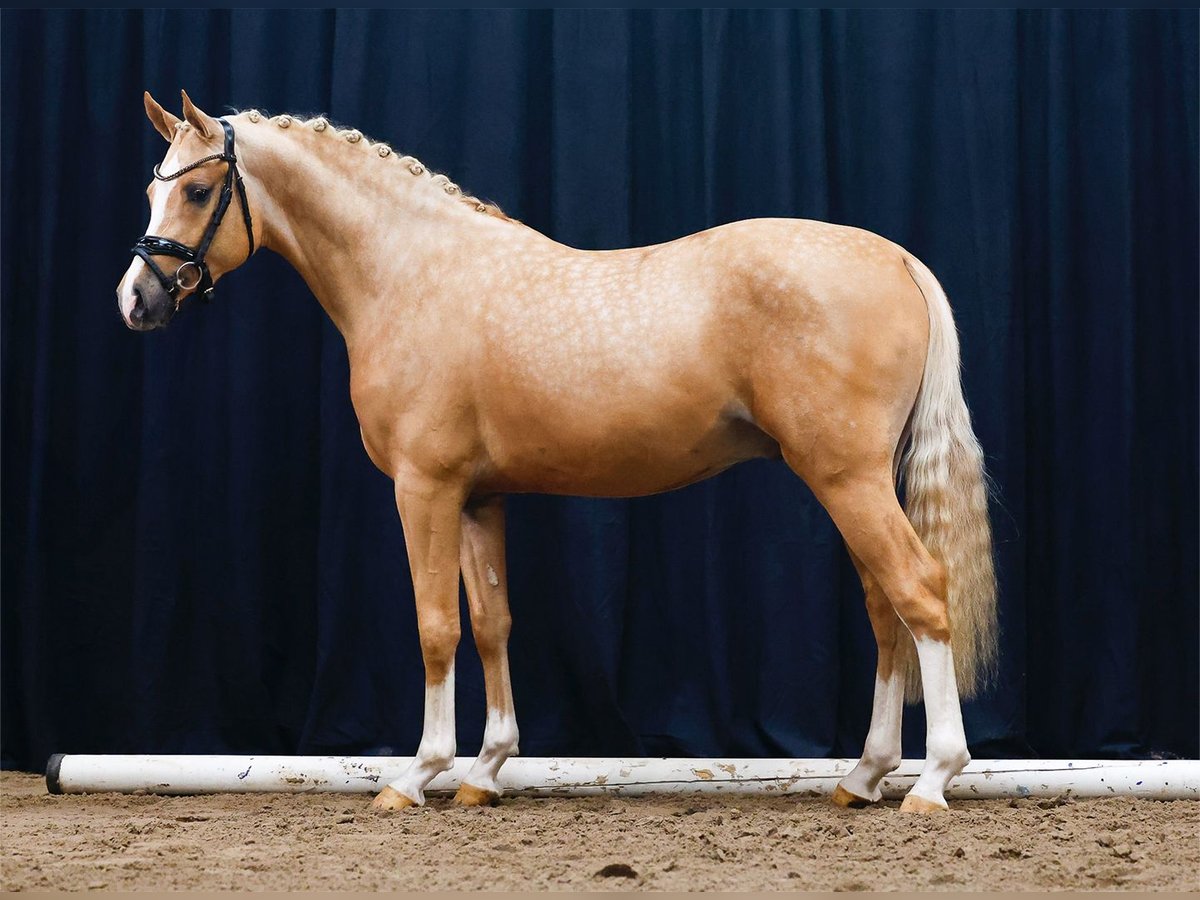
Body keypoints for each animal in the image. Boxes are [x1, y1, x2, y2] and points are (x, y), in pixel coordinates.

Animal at [114, 93, 993, 816]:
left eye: (198, 191)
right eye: (154, 187)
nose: (136, 299)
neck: (413, 273)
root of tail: (895, 258)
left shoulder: (424, 489)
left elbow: (436, 626)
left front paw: (416, 775)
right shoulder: (479, 497)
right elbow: (493, 622)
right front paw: (484, 771)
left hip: (845, 479)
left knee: (920, 592)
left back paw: (933, 781)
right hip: (853, 482)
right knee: (885, 608)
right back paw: (865, 776)